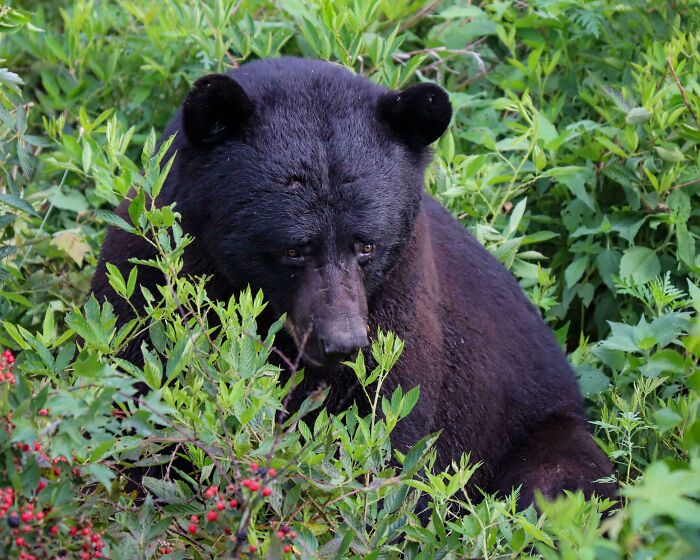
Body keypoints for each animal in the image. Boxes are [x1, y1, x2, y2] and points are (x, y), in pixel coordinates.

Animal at [91, 57, 615, 508]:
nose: (342, 341)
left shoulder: (400, 300)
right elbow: (138, 391)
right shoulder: (147, 276)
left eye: (366, 245)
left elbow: (387, 429)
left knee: (559, 485)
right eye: (294, 248)